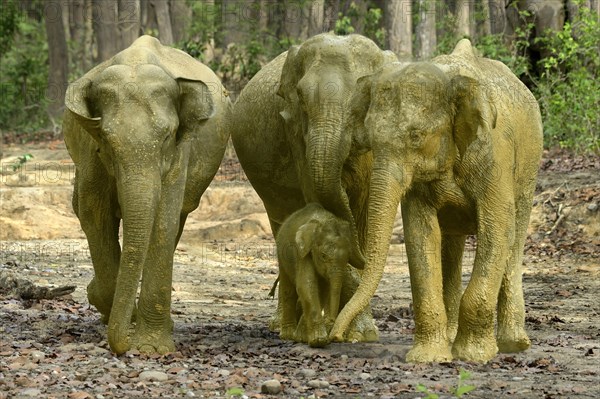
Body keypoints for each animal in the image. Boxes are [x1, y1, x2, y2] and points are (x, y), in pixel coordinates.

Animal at [62, 35, 229, 354]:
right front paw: (106, 303)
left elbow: (164, 220)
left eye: (166, 138)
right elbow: (94, 213)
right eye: (106, 141)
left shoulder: (180, 152)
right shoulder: (90, 152)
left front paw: (150, 348)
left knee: (177, 220)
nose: (124, 345)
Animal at [276, 205, 354, 348]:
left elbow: (321, 290)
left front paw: (303, 338)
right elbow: (306, 284)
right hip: (281, 254)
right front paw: (319, 341)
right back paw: (287, 336)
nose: (336, 337)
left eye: (348, 258)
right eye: (323, 256)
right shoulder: (302, 252)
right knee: (288, 290)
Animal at [328, 39, 544, 364]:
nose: (335, 337)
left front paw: (474, 356)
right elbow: (420, 234)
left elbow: (497, 226)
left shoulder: (495, 154)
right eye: (371, 139)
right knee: (451, 244)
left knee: (514, 237)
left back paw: (513, 344)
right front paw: (428, 358)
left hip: (529, 165)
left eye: (416, 136)